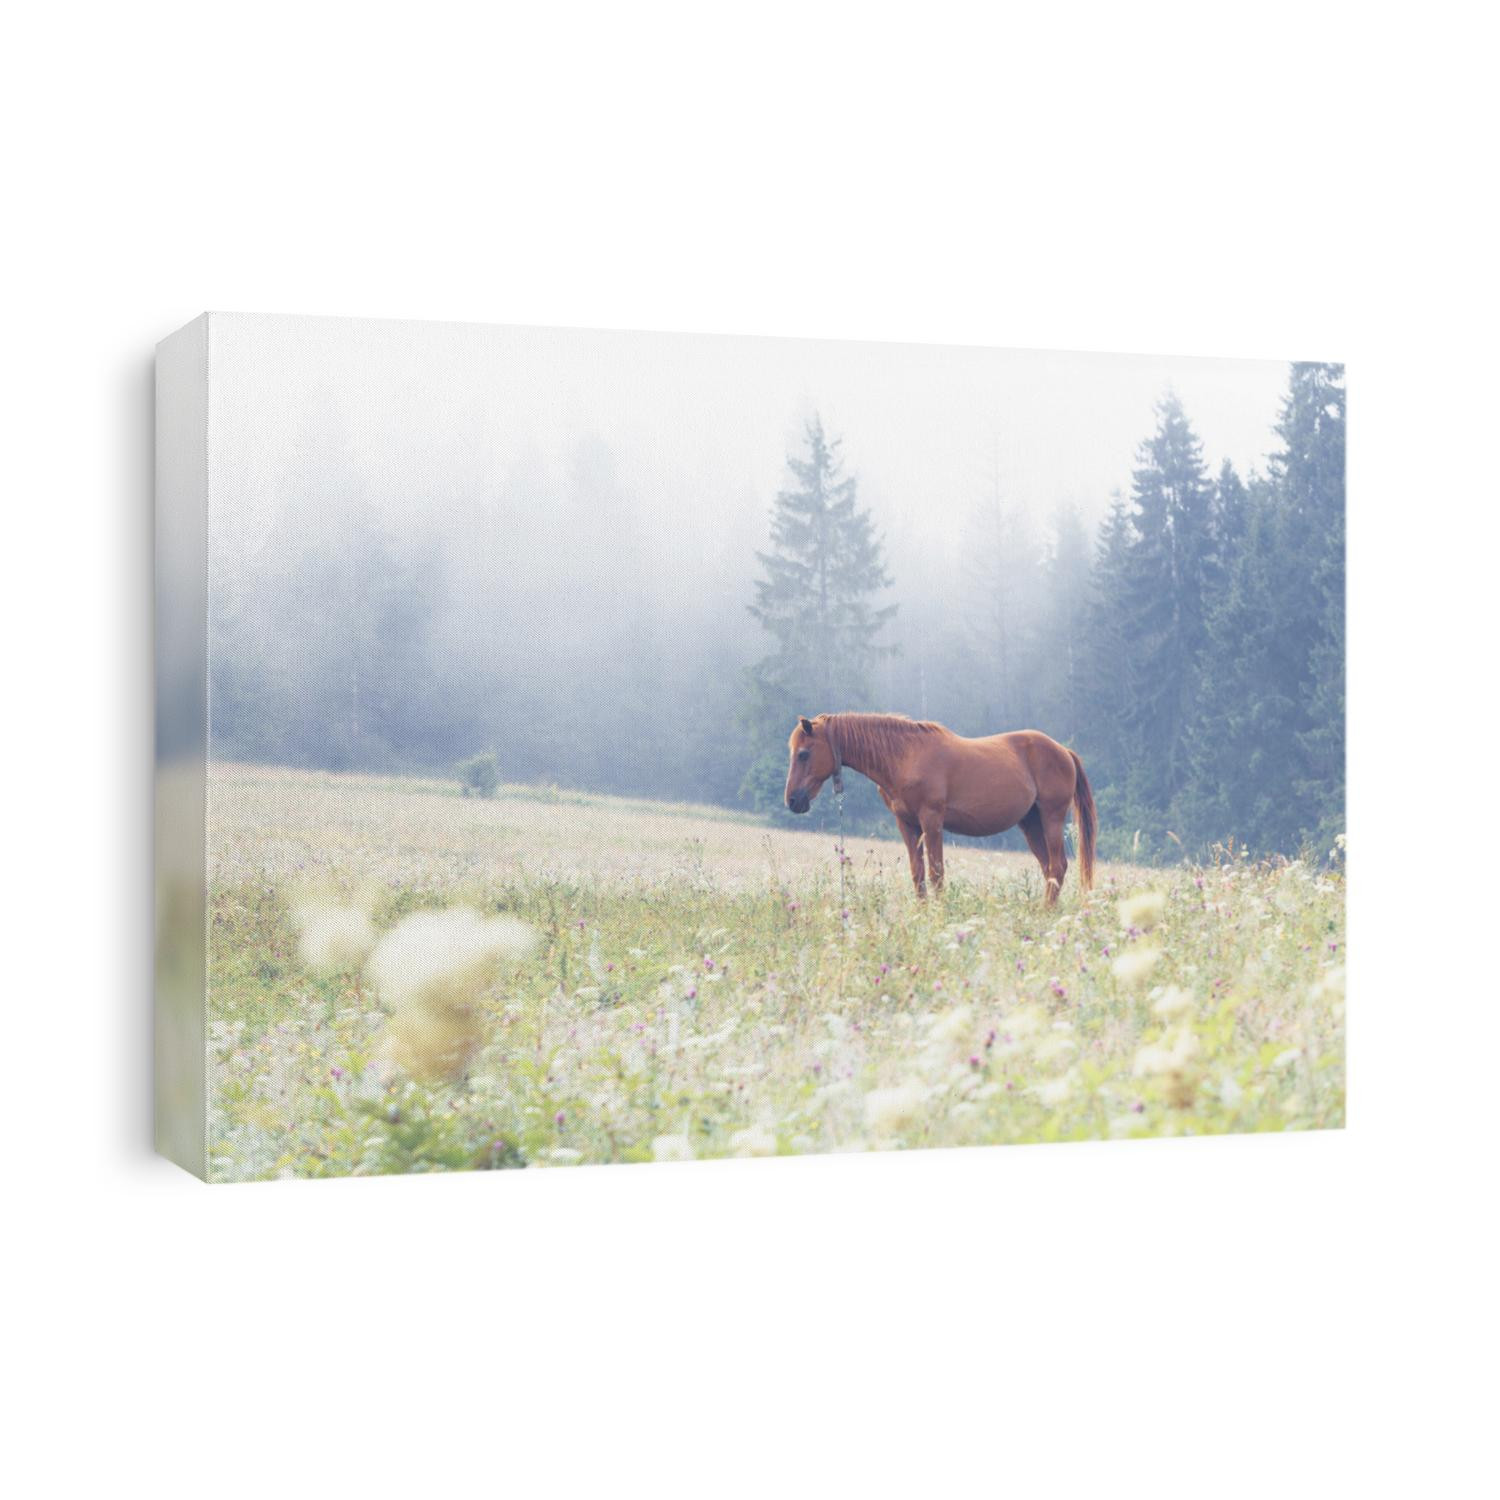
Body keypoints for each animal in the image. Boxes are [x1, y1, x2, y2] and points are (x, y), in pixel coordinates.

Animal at [783, 712, 1096, 903]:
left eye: (803, 754)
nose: (793, 800)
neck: (905, 757)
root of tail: (1063, 751)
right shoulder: (907, 824)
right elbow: (918, 874)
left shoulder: (932, 821)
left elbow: (936, 874)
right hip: (1030, 823)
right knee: (1049, 868)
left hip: (1052, 818)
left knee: (1058, 866)